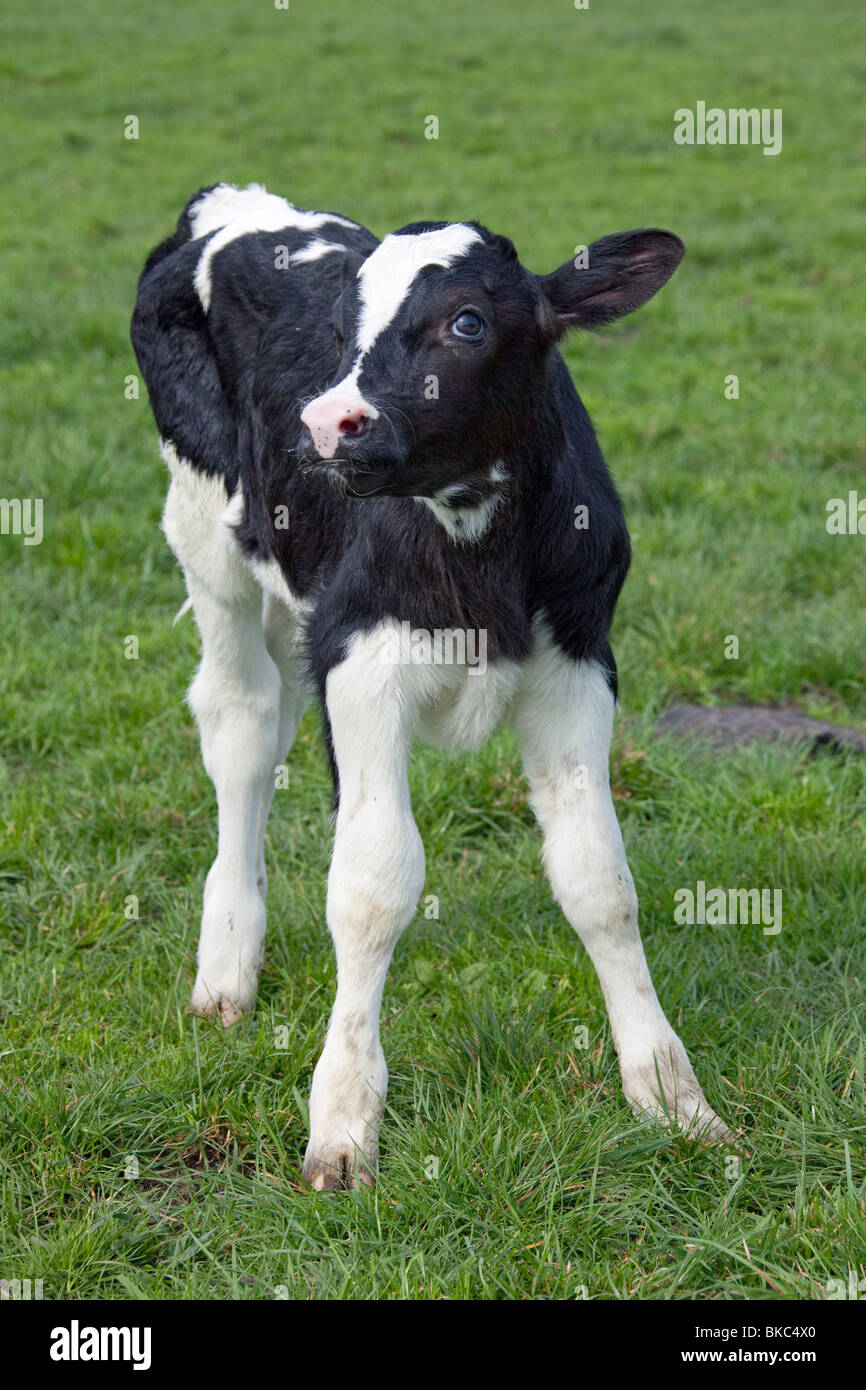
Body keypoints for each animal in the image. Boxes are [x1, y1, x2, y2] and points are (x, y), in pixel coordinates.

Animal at [134, 179, 733, 1189]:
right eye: (343, 327)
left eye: (468, 322)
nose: (326, 425)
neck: (474, 543)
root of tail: (231, 201)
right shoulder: (361, 663)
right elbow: (373, 883)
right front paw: (342, 1121)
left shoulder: (577, 663)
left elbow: (599, 878)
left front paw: (671, 1096)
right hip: (207, 536)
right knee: (242, 727)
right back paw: (226, 970)